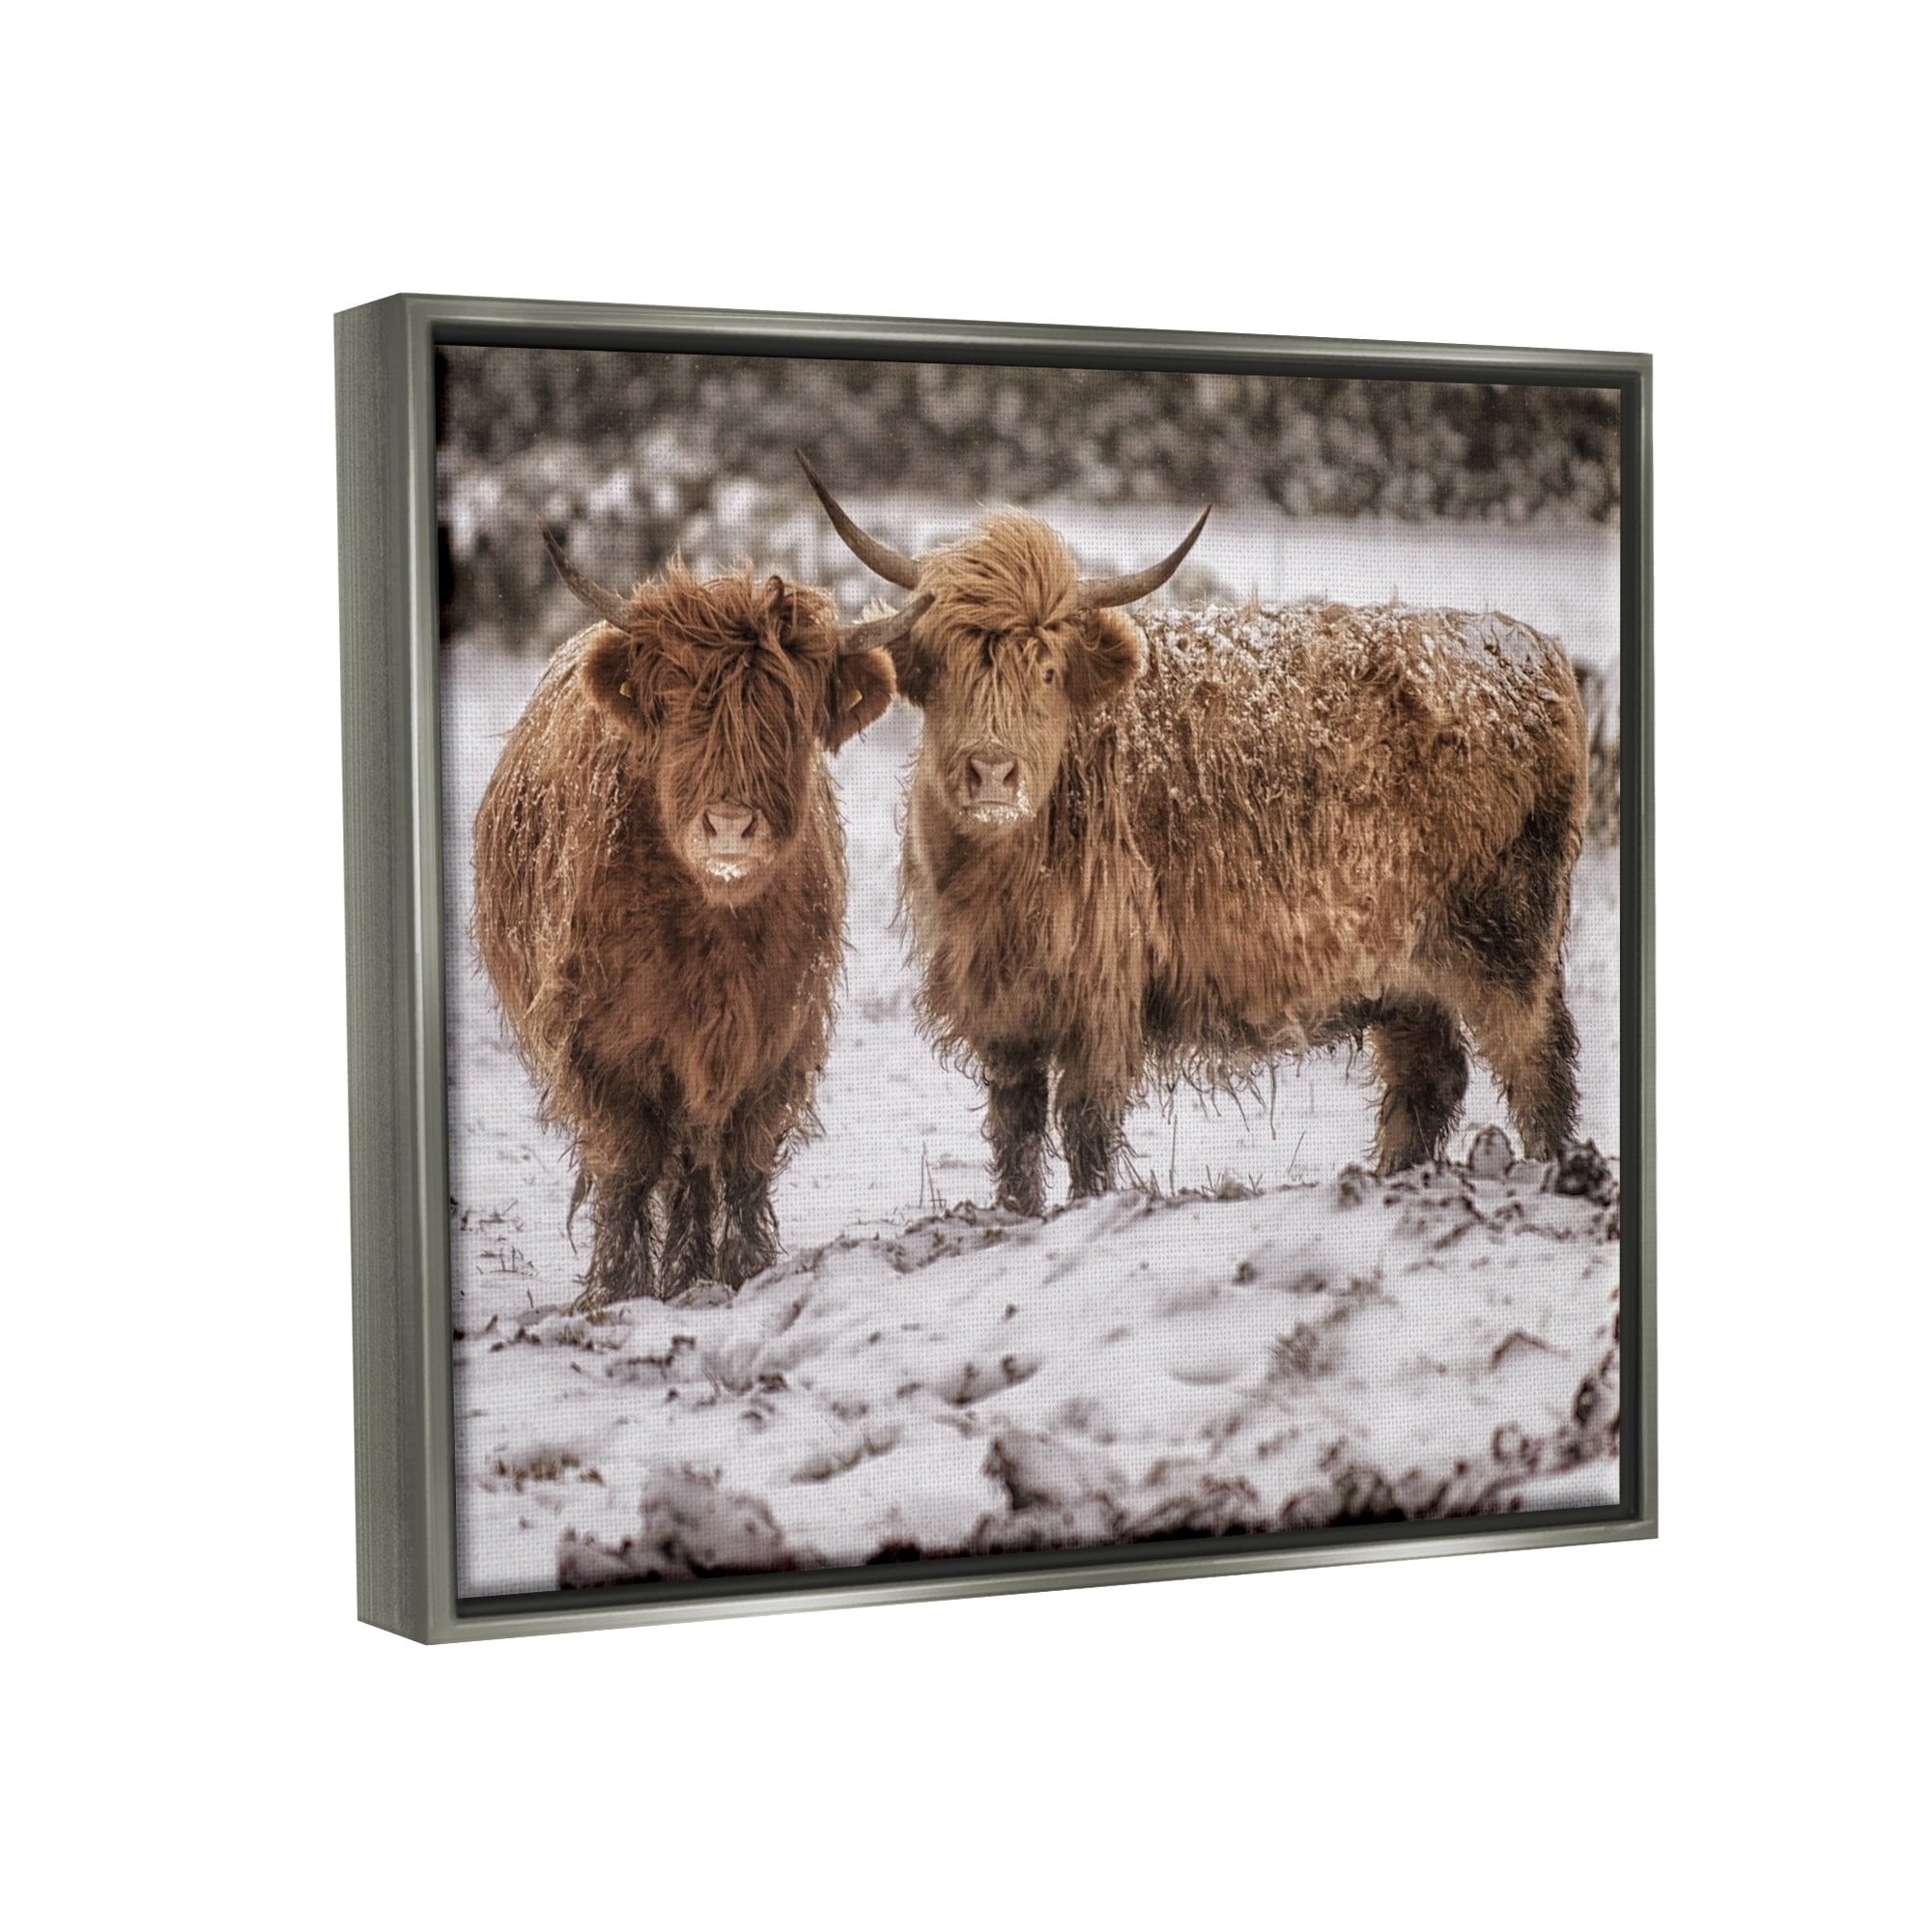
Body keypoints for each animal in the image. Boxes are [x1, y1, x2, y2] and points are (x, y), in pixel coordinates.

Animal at [472, 523, 928, 1306]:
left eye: (789, 716)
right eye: (680, 710)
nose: (730, 826)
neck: (713, 928)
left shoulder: (777, 1034)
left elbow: (740, 1158)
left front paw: (742, 1270)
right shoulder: (600, 1044)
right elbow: (627, 1163)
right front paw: (619, 1289)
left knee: (694, 1159)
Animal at [798, 452, 1588, 1214]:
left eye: (1047, 672)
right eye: (946, 667)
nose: (992, 771)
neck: (1000, 879)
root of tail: (1532, 649)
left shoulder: (1101, 989)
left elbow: (1086, 1122)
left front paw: (1088, 1206)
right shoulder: (1002, 1005)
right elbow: (1015, 1128)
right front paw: (1016, 1212)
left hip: (1508, 938)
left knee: (1536, 1064)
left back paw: (1554, 1171)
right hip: (1403, 967)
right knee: (1428, 1078)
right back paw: (1393, 1178)